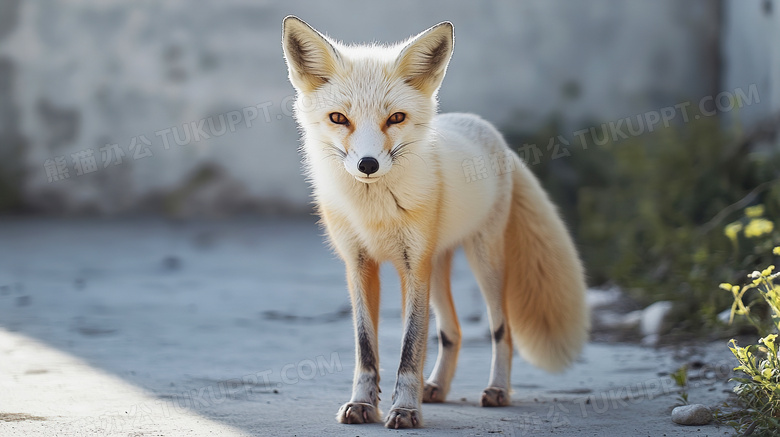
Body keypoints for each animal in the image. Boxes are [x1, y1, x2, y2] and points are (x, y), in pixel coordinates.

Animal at [282, 15, 592, 428]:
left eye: (396, 118)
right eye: (338, 119)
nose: (368, 165)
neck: (373, 212)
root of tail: (486, 129)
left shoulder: (413, 264)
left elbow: (410, 347)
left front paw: (404, 409)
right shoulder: (360, 263)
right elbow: (366, 347)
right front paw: (363, 404)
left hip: (484, 260)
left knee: (502, 330)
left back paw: (497, 390)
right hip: (440, 263)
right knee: (453, 331)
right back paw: (438, 388)